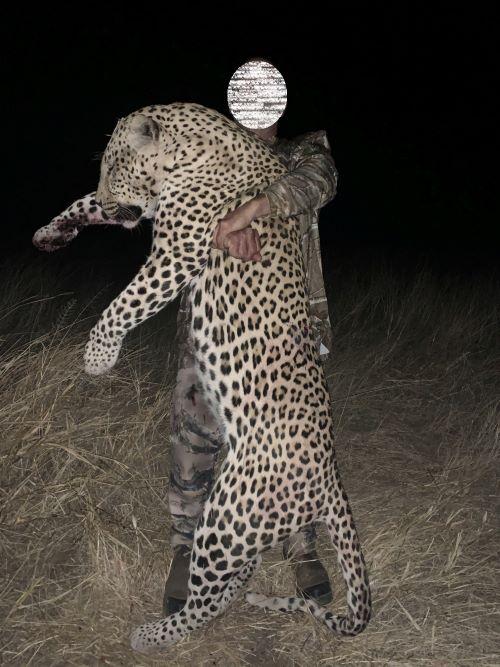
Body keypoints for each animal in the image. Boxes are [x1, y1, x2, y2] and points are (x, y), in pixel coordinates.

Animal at [38, 102, 371, 653]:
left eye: (114, 165)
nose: (110, 197)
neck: (192, 145)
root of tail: (330, 483)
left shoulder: (179, 250)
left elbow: (126, 303)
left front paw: (98, 356)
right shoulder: (154, 212)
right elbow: (85, 205)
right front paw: (52, 231)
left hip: (227, 517)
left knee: (205, 600)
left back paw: (153, 634)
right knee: (225, 580)